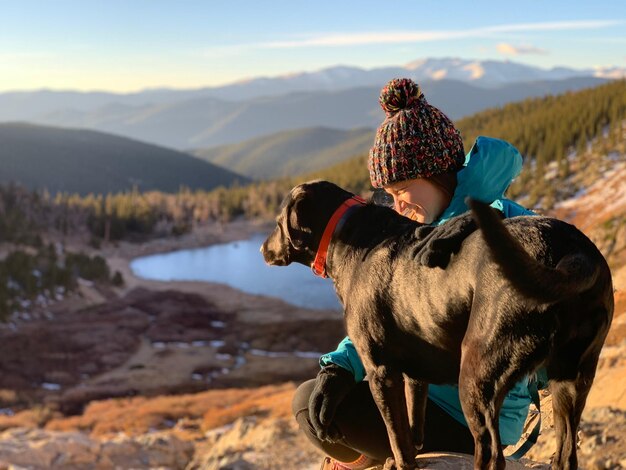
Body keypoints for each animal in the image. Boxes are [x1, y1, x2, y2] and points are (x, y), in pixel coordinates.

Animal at [258, 181, 608, 470]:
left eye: (276, 223)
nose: (262, 249)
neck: (348, 238)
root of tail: (569, 251)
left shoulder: (381, 372)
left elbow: (396, 436)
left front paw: (402, 464)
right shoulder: (416, 375)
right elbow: (413, 425)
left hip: (477, 375)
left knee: (492, 455)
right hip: (572, 379)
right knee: (566, 454)